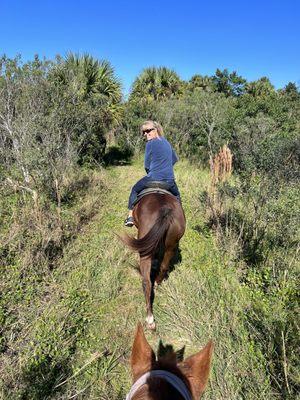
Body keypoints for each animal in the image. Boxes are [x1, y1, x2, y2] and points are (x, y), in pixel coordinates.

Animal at [121, 192, 185, 330]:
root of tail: (165, 210)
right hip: (171, 245)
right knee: (164, 267)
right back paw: (157, 282)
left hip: (146, 251)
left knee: (146, 281)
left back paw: (150, 319)